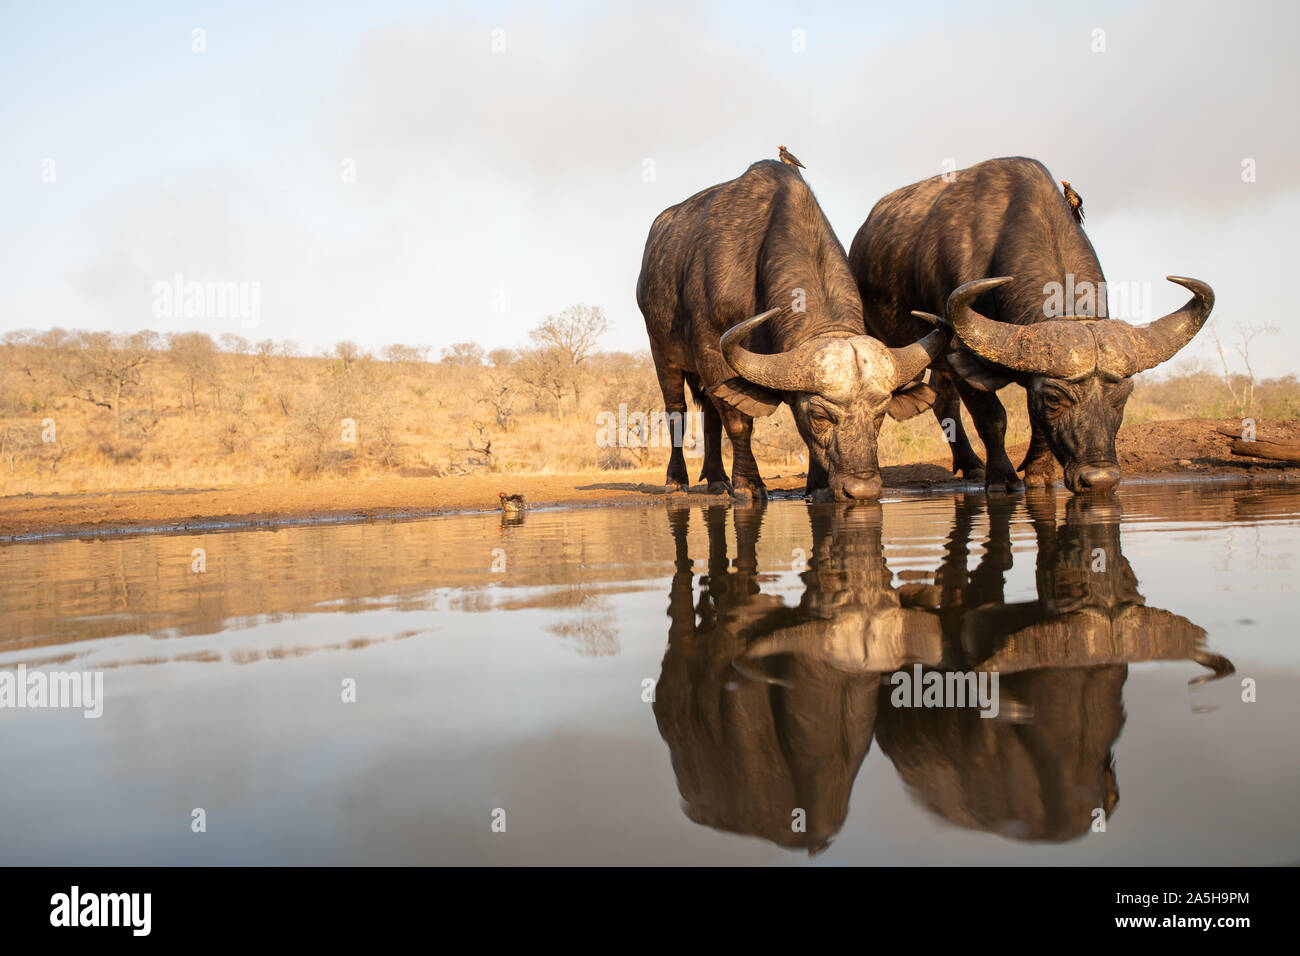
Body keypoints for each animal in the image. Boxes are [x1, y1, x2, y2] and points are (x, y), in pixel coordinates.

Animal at [847, 156, 1211, 494]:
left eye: (1122, 397)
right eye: (1053, 399)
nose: (1100, 479)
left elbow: (1037, 427)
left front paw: (1038, 474)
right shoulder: (959, 350)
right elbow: (992, 418)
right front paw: (1003, 477)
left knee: (941, 398)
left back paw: (971, 465)